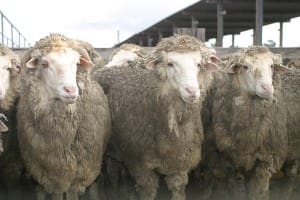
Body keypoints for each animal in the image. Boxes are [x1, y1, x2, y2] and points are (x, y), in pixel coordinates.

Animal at [202, 45, 290, 200]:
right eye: (245, 66)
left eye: (272, 66)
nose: (267, 88)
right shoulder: (230, 160)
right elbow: (236, 189)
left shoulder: (265, 161)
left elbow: (258, 192)